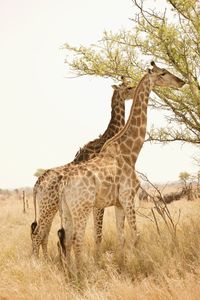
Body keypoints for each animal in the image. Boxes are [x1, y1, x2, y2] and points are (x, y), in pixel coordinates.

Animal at [30, 78, 135, 258]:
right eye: (128, 87)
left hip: (49, 208)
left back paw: (45, 260)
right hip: (47, 206)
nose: (135, 91)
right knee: (38, 234)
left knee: (44, 233)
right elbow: (97, 233)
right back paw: (37, 262)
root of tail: (37, 185)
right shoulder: (98, 203)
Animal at [57, 62, 184, 276]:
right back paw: (83, 276)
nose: (181, 82)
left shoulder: (117, 203)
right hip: (82, 208)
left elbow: (121, 237)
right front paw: (140, 267)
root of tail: (64, 184)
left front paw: (123, 266)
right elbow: (136, 235)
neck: (130, 152)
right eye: (163, 73)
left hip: (67, 210)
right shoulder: (128, 197)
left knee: (66, 239)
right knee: (77, 239)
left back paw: (70, 275)